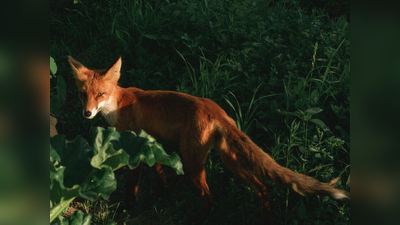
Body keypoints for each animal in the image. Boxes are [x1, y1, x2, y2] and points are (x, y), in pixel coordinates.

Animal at [69, 56, 350, 223]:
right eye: (83, 94)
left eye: (100, 94)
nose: (87, 113)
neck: (117, 106)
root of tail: (215, 109)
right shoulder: (151, 145)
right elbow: (160, 175)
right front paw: (165, 196)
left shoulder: (134, 150)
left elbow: (132, 187)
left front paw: (128, 209)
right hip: (230, 160)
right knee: (262, 187)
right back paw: (266, 218)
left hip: (192, 163)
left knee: (209, 196)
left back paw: (201, 217)